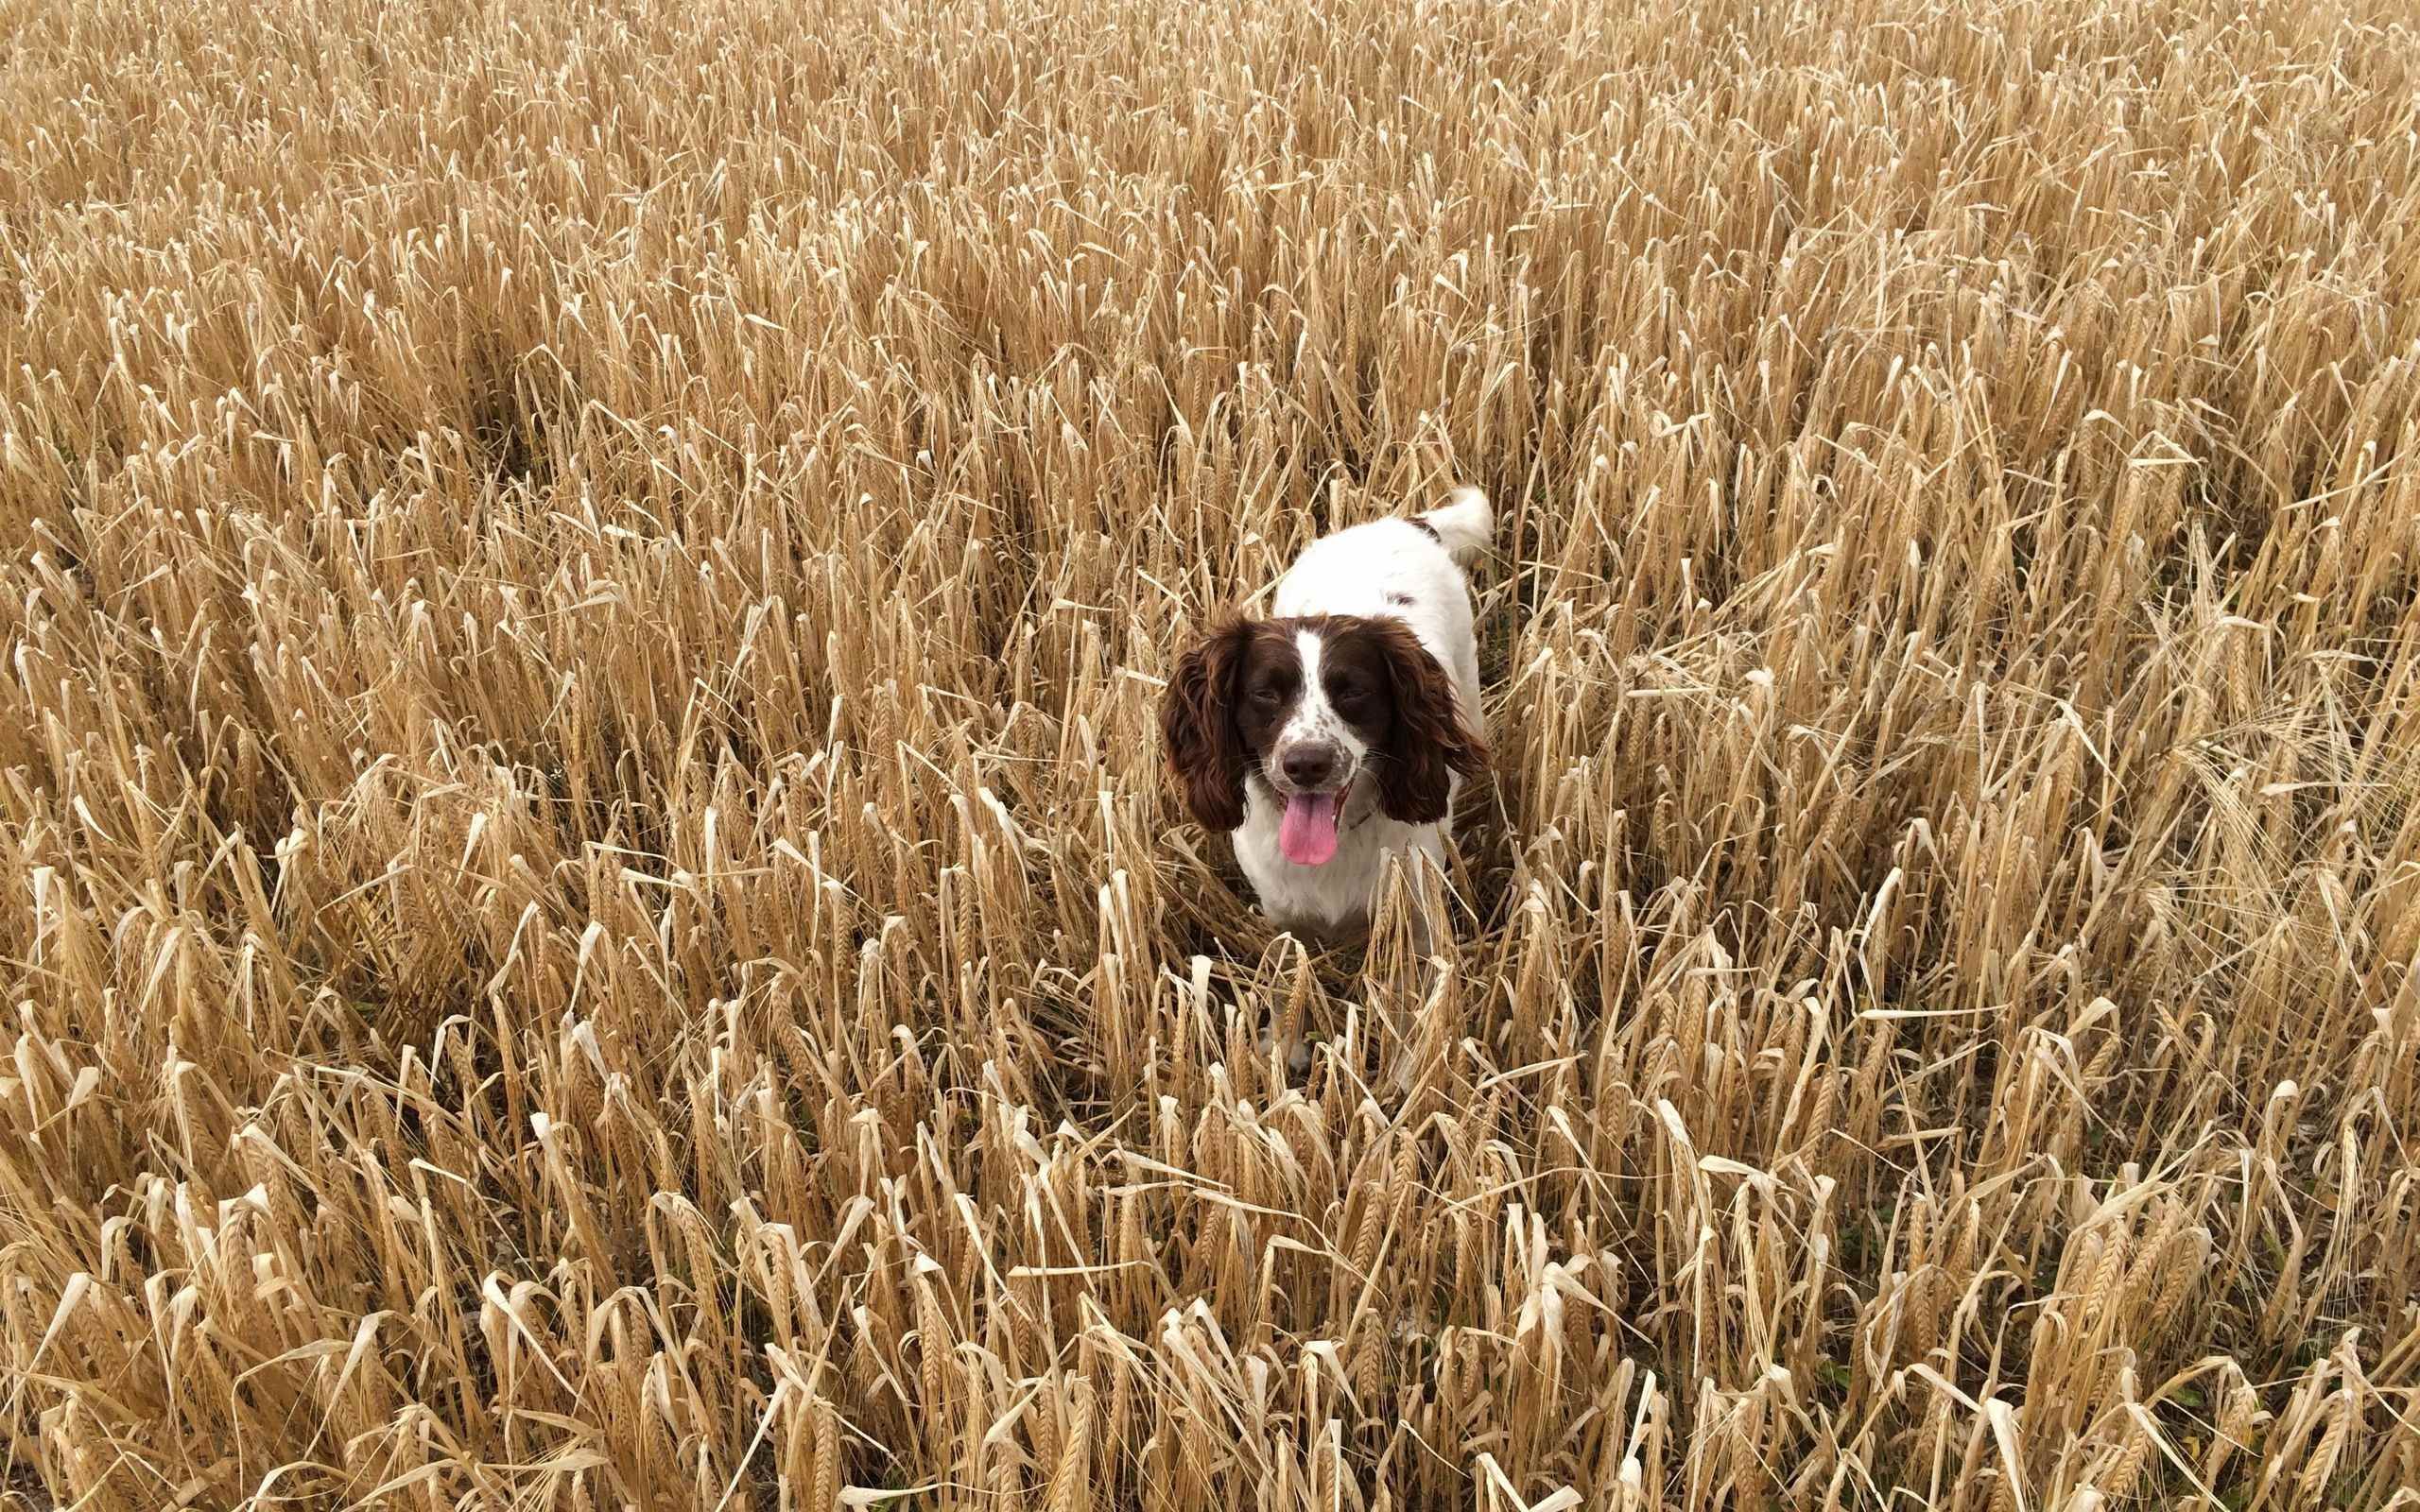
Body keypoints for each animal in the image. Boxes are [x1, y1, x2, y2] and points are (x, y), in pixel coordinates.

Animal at [1156, 486, 1490, 943]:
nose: (1306, 764)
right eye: (1264, 693)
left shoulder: (1419, 909)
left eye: (1354, 691)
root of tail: (1399, 524)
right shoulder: (1287, 919)